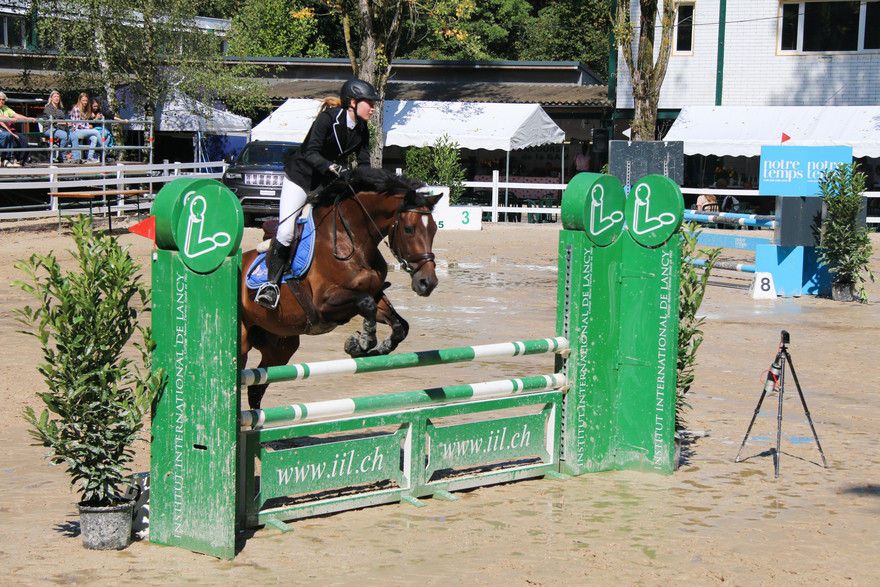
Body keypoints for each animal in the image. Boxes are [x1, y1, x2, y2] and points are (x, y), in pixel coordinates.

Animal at [240, 167, 441, 410]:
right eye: (410, 229)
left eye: (434, 230)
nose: (427, 283)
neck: (352, 239)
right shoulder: (324, 304)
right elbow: (367, 305)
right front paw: (362, 342)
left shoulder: (372, 293)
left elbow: (399, 325)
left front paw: (375, 347)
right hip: (243, 342)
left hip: (280, 345)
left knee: (256, 388)